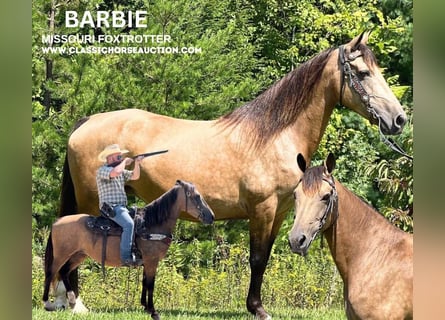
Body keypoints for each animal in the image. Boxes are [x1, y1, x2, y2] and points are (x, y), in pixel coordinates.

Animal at [43, 180, 213, 318]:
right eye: (196, 196)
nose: (211, 216)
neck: (150, 224)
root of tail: (57, 221)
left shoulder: (147, 261)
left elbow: (145, 283)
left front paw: (145, 307)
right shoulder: (152, 261)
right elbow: (150, 285)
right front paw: (153, 311)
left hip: (78, 255)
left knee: (64, 272)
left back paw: (72, 302)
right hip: (62, 254)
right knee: (51, 273)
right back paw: (47, 303)